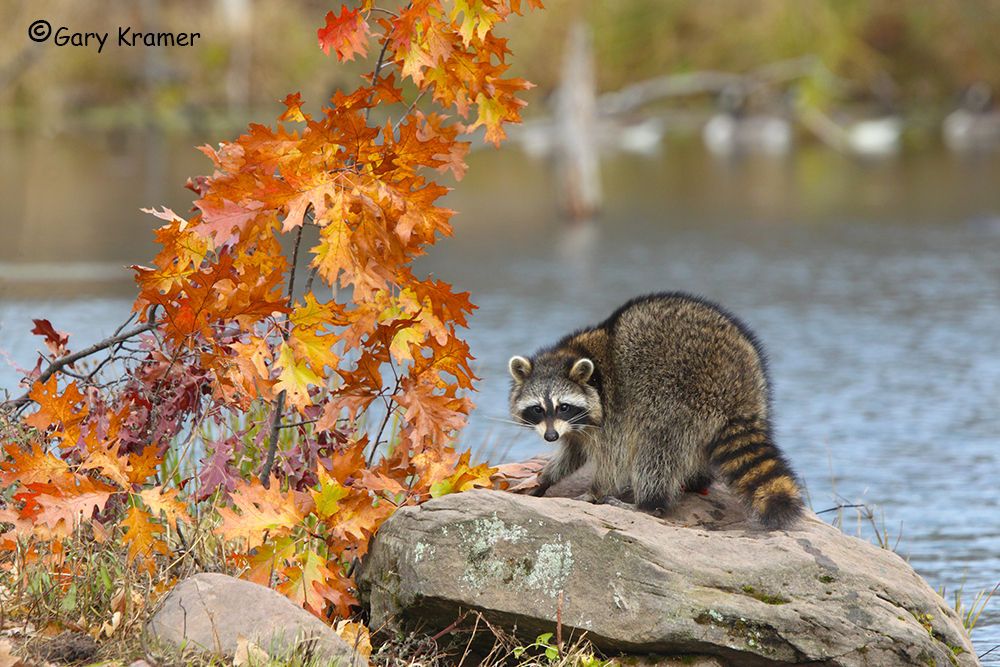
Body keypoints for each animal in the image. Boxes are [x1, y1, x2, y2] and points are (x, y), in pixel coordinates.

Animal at [508, 292, 804, 532]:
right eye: (537, 409)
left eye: (564, 406)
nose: (550, 438)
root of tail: (738, 397)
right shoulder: (576, 426)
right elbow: (574, 452)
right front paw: (545, 477)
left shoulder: (615, 408)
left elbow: (613, 458)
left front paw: (595, 491)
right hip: (756, 395)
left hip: (678, 399)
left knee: (655, 447)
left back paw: (648, 503)